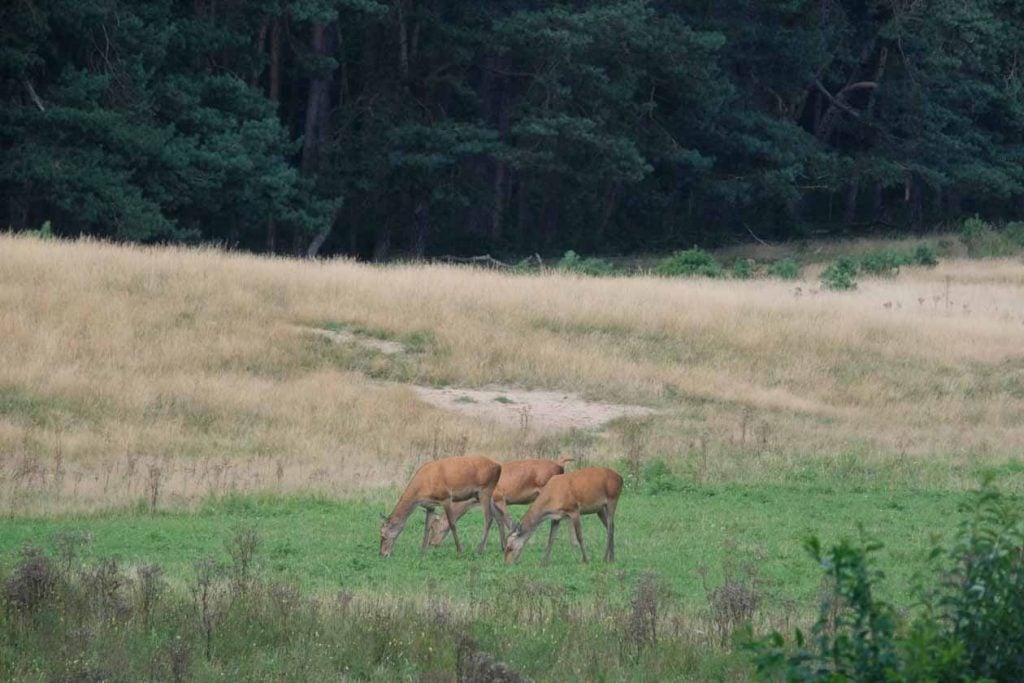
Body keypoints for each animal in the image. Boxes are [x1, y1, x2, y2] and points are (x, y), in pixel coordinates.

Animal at [425, 454, 577, 548]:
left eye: (433, 527)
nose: (432, 543)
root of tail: (560, 465)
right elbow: (499, 521)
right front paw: (502, 544)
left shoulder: (499, 498)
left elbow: (508, 521)